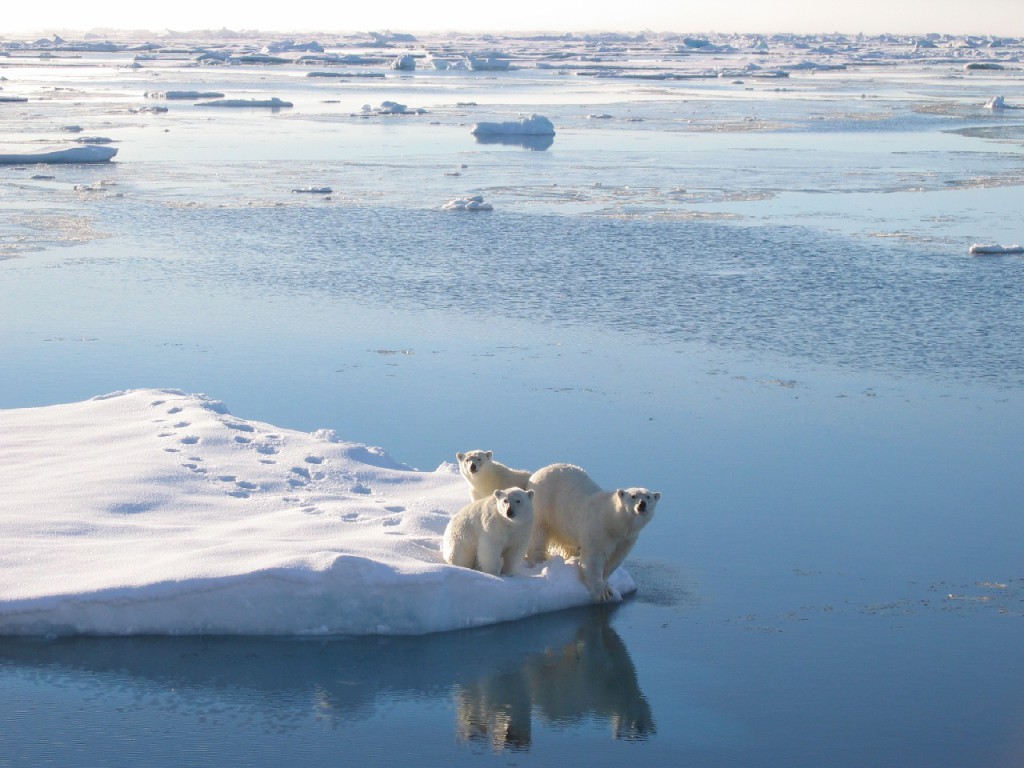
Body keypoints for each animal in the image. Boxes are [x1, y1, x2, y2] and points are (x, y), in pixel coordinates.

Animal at [524, 466, 659, 606]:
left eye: (648, 496)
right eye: (633, 496)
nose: (642, 504)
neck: (612, 521)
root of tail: (536, 473)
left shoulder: (626, 539)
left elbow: (615, 559)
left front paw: (607, 583)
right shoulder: (598, 530)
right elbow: (594, 558)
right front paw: (603, 593)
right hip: (544, 503)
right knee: (540, 530)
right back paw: (540, 559)